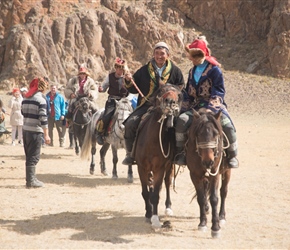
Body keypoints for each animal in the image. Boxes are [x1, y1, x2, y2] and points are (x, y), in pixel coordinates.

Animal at [133, 84, 182, 229]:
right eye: (162, 90)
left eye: (179, 95)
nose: (170, 102)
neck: (152, 141)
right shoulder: (141, 167)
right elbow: (146, 192)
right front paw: (148, 213)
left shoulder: (159, 168)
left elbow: (155, 194)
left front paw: (154, 219)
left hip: (169, 166)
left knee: (166, 183)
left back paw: (168, 207)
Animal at [187, 110, 232, 238]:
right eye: (198, 134)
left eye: (216, 134)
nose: (208, 161)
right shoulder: (195, 175)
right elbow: (201, 198)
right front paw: (202, 223)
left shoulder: (215, 174)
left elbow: (214, 198)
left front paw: (216, 228)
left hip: (227, 171)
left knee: (223, 192)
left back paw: (222, 216)